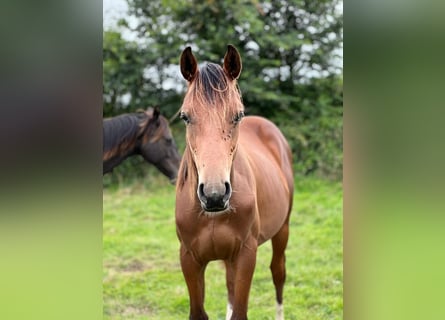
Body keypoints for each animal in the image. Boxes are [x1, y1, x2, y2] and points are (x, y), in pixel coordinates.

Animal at [175, 45, 294, 320]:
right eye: (185, 117)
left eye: (238, 115)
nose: (215, 194)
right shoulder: (189, 259)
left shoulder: (245, 255)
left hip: (282, 229)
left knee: (278, 273)